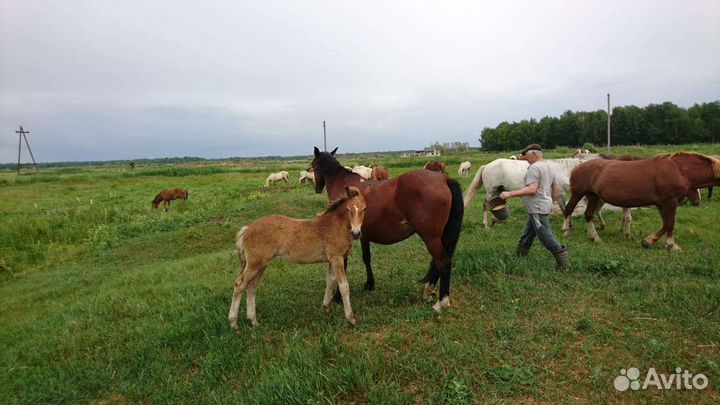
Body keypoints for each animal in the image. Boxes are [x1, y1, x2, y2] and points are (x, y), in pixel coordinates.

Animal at [228, 186, 366, 329]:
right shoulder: (336, 258)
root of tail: (248, 228)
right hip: (254, 264)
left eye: (364, 209)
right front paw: (351, 318)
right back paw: (233, 323)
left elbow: (331, 281)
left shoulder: (331, 260)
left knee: (251, 286)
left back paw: (253, 321)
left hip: (261, 265)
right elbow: (344, 286)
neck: (335, 225)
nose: (356, 233)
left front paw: (327, 309)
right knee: (239, 285)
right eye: (348, 209)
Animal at [311, 147, 464, 312]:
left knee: (443, 263)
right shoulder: (363, 235)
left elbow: (343, 266)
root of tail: (444, 179)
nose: (317, 188)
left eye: (313, 165)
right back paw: (428, 293)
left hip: (431, 238)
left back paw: (442, 302)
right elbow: (367, 257)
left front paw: (338, 297)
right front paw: (370, 284)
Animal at [561, 152, 720, 251]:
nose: (697, 202)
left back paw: (595, 238)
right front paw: (671, 245)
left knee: (589, 215)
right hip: (578, 194)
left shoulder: (662, 204)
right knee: (569, 210)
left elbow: (666, 224)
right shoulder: (670, 202)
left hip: (593, 196)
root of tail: (577, 167)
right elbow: (670, 223)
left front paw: (648, 241)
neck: (678, 169)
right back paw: (566, 231)